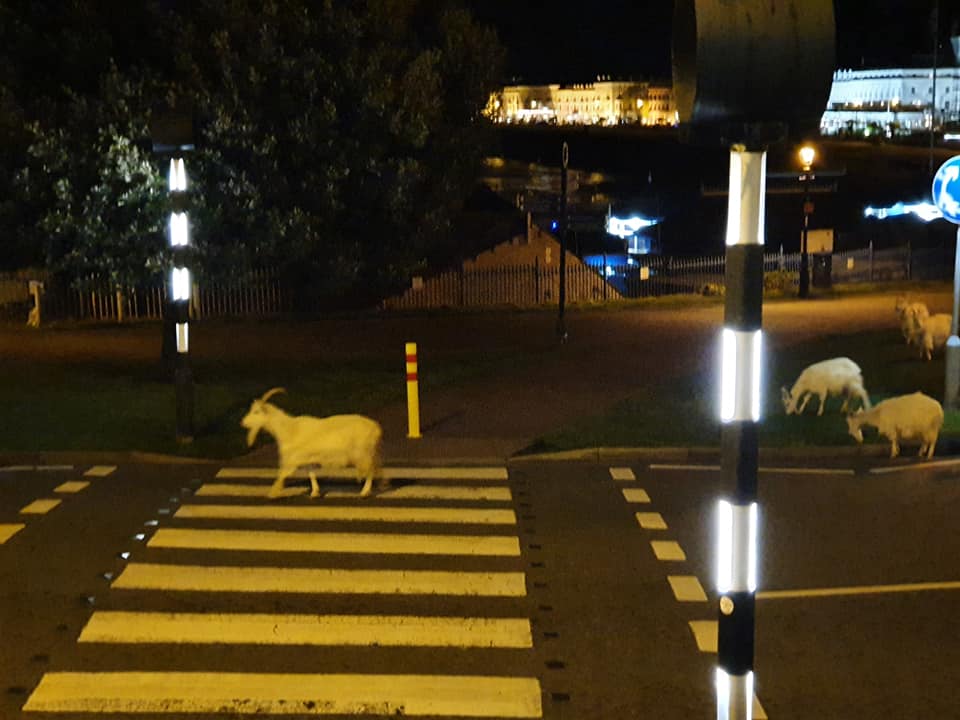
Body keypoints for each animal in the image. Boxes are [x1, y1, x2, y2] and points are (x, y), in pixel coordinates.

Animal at [239, 388, 382, 500]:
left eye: (256, 412)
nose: (243, 423)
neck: (289, 429)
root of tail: (376, 428)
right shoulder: (307, 458)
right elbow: (311, 474)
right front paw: (315, 492)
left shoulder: (293, 459)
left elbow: (282, 474)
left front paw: (273, 493)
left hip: (363, 452)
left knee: (370, 470)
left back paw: (365, 492)